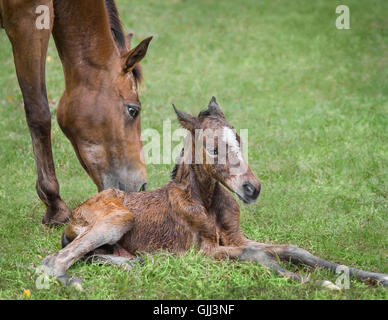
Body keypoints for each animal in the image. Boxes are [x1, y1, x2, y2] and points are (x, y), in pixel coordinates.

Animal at [41, 97, 386, 288]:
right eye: (213, 148)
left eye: (239, 139)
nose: (252, 188)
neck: (205, 202)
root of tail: (75, 214)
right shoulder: (202, 251)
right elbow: (257, 255)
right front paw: (316, 282)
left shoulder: (235, 238)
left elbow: (293, 249)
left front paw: (373, 276)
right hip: (118, 218)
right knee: (54, 260)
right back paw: (74, 282)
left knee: (92, 255)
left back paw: (134, 263)